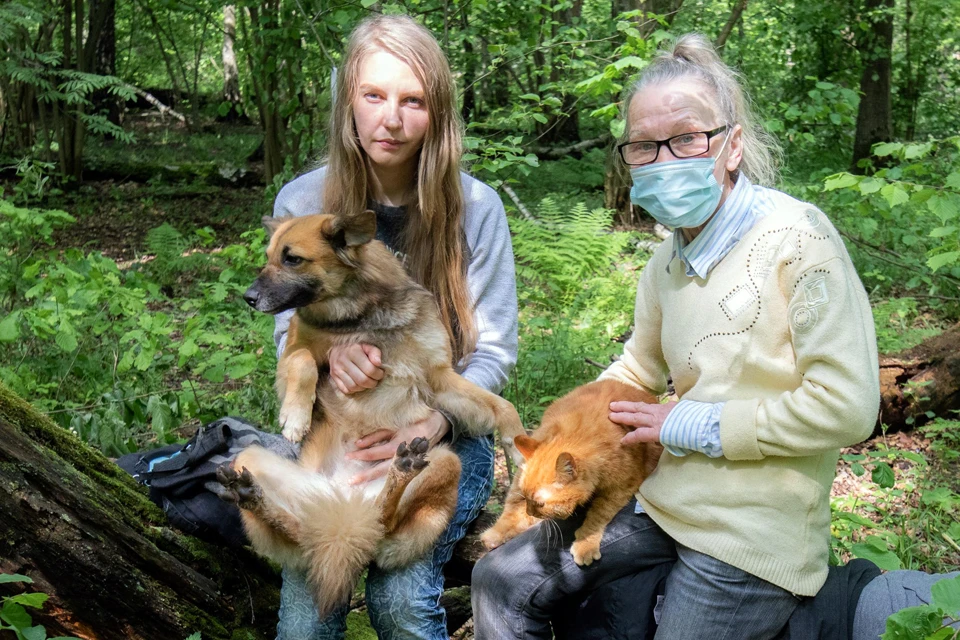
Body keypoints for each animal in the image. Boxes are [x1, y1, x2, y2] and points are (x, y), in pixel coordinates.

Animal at [480, 380, 660, 564]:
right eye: (526, 497)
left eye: (540, 504)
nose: (530, 511)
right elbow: (514, 508)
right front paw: (499, 532)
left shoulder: (622, 487)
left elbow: (599, 515)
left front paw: (585, 544)